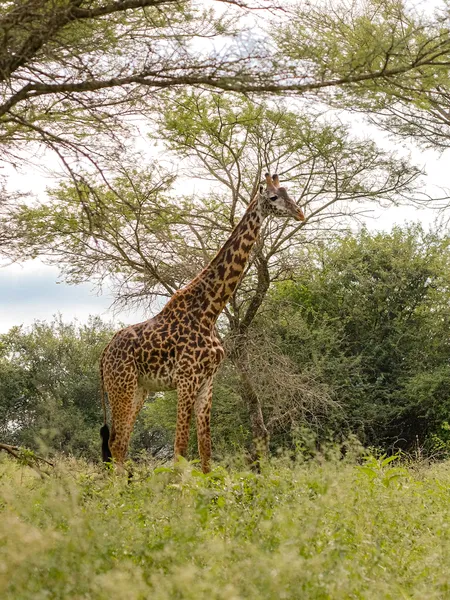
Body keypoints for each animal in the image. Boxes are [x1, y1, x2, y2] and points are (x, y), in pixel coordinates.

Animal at [100, 173, 306, 474]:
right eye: (273, 197)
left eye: (288, 192)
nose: (299, 213)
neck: (210, 311)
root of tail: (103, 354)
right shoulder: (187, 379)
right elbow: (180, 450)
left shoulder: (207, 382)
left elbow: (206, 453)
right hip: (121, 386)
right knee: (116, 443)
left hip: (140, 389)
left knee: (121, 443)